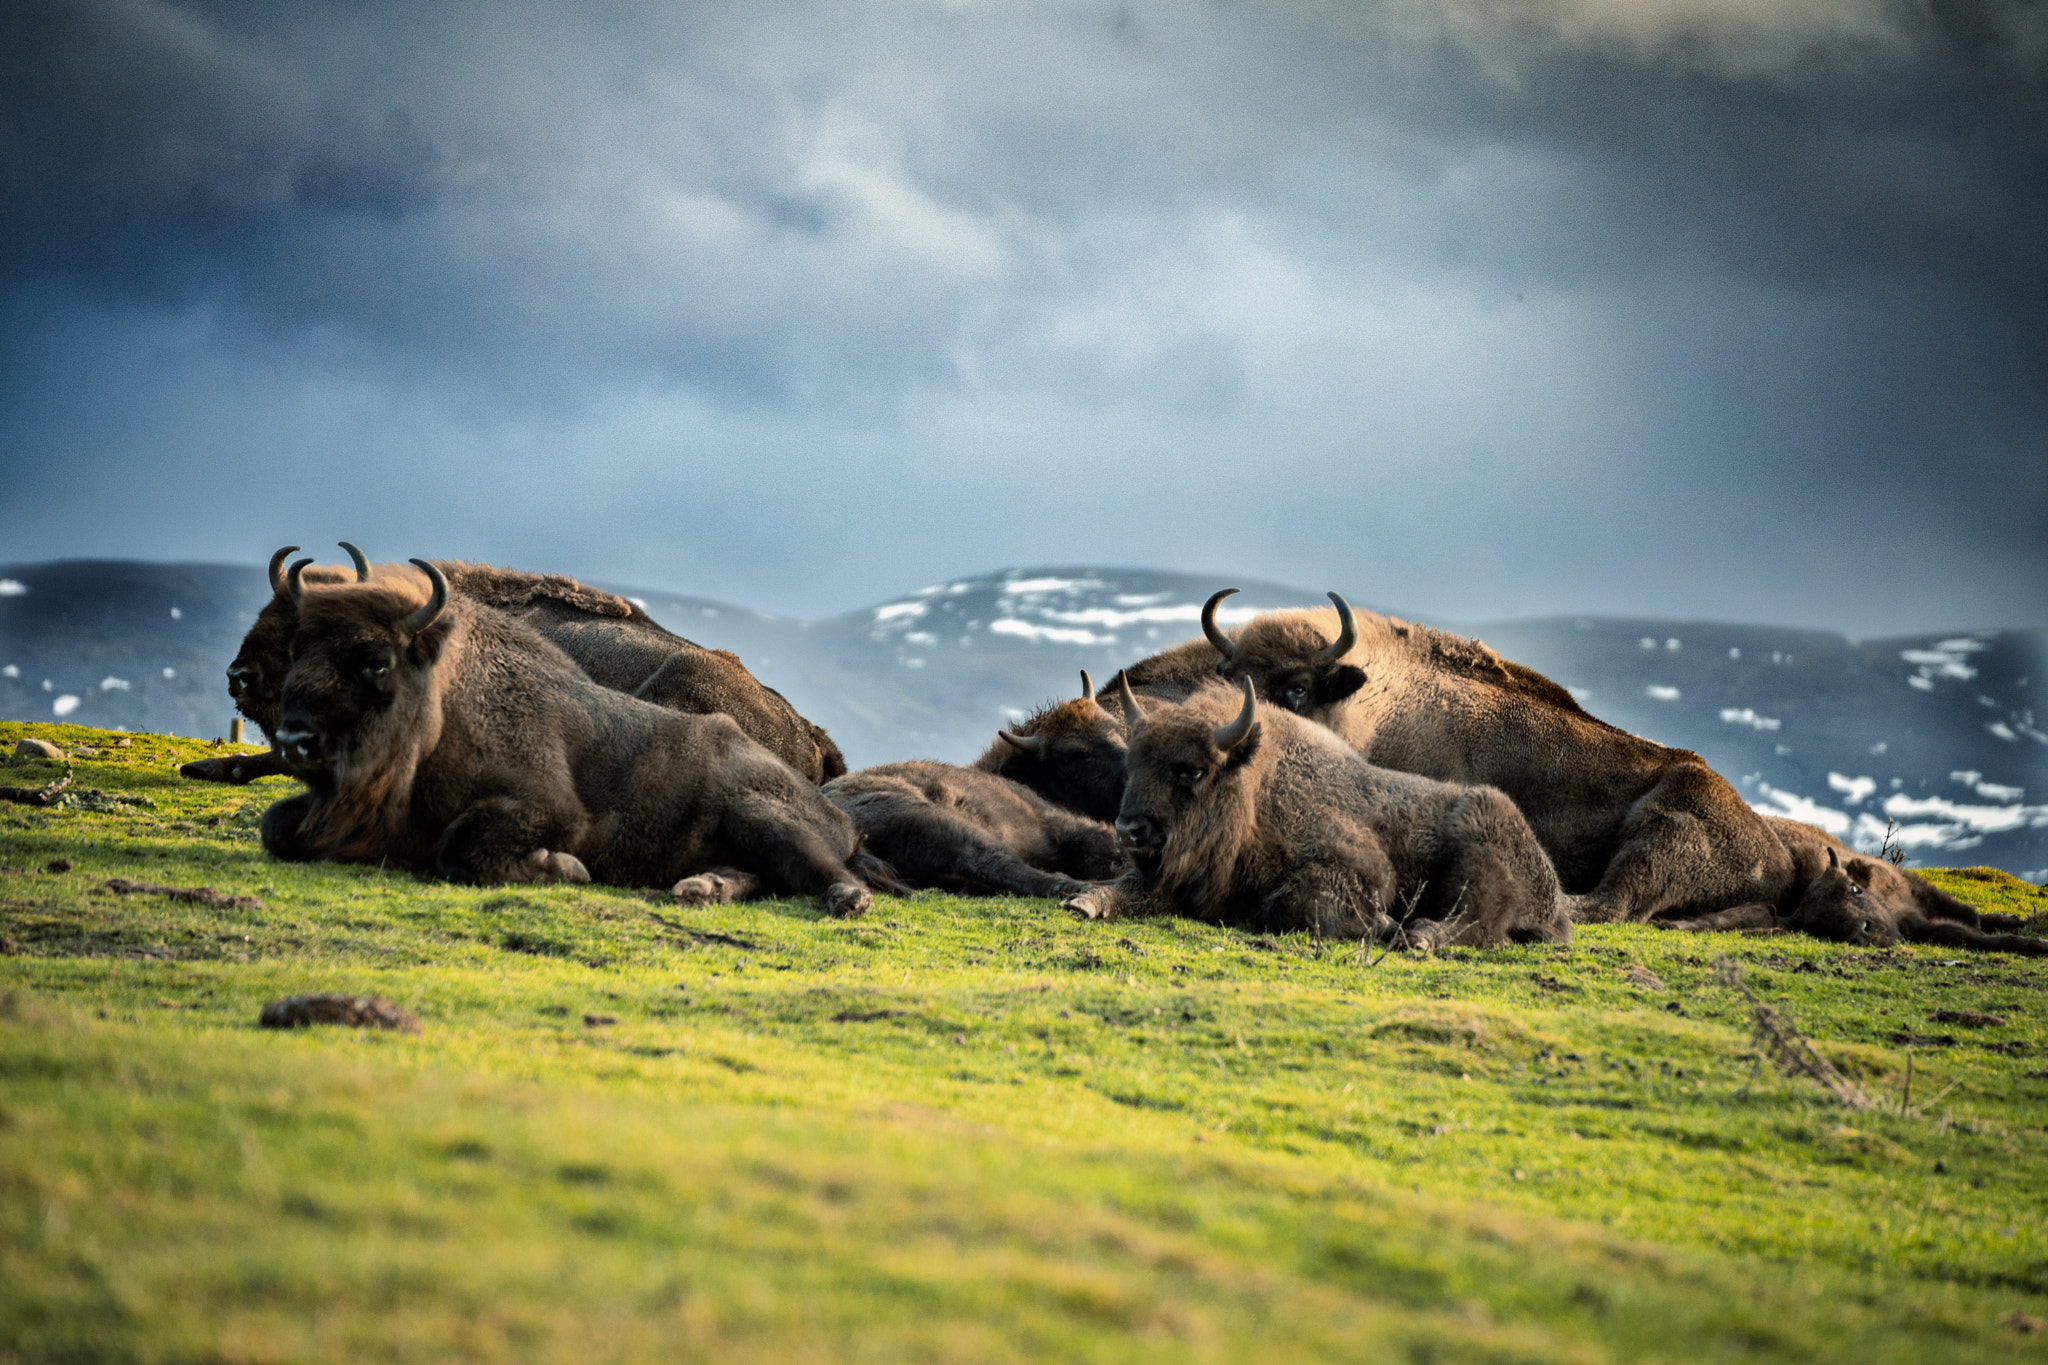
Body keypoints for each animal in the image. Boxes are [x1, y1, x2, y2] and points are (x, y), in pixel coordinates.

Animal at [1063, 679, 1572, 949]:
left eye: (1192, 770)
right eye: (1134, 764)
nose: (1129, 829)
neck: (1255, 793)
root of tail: (1551, 884)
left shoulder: (1365, 871)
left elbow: (1293, 903)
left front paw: (1383, 925)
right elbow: (1126, 888)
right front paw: (1083, 902)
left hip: (1479, 852)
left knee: (1480, 924)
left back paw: (1417, 936)